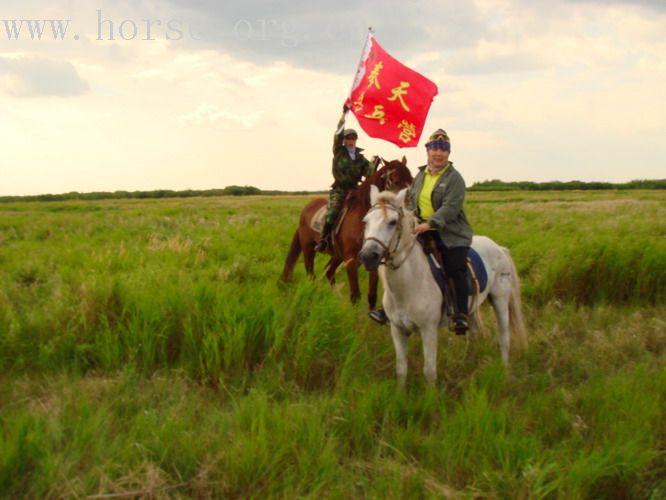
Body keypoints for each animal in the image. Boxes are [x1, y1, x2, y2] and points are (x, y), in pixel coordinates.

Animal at [278, 158, 410, 308]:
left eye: (411, 179)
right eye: (396, 181)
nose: (410, 206)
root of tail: (305, 210)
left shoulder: (373, 262)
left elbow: (372, 296)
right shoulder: (351, 261)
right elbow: (355, 296)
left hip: (337, 255)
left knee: (329, 272)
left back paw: (338, 299)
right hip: (308, 249)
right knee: (311, 274)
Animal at [358, 186, 524, 384]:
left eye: (392, 222)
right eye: (365, 221)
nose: (368, 256)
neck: (408, 286)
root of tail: (500, 248)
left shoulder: (428, 330)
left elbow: (429, 372)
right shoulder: (397, 330)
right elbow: (401, 369)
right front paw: (400, 391)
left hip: (500, 299)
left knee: (504, 337)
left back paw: (504, 372)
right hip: (471, 307)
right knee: (473, 333)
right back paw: (465, 363)